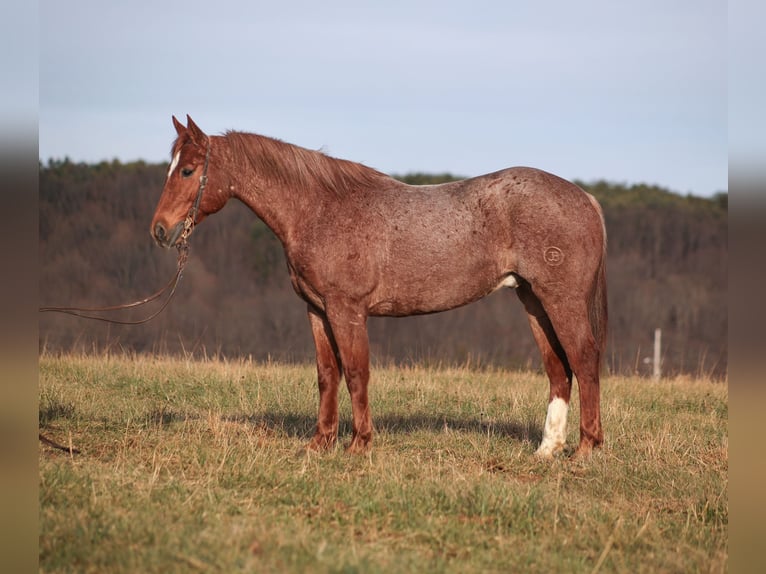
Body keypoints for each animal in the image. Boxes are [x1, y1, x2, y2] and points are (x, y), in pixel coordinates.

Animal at [151, 115, 608, 458]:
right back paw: (547, 450)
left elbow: (356, 372)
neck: (319, 209)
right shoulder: (317, 310)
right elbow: (327, 375)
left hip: (560, 300)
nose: (159, 230)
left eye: (188, 170)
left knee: (584, 361)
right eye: (171, 168)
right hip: (533, 300)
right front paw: (319, 444)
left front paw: (359, 445)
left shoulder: (347, 309)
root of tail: (585, 199)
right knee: (558, 369)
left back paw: (586, 449)